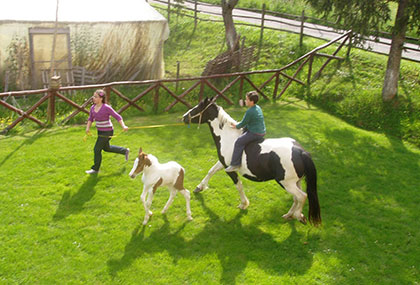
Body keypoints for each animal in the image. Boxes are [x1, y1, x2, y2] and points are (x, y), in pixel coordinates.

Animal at [184, 96, 322, 225]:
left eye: (198, 107)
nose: (184, 117)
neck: (228, 137)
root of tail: (301, 151)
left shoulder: (230, 169)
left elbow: (239, 185)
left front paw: (243, 204)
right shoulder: (223, 163)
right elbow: (211, 171)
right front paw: (199, 187)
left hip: (286, 183)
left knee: (302, 196)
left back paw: (299, 216)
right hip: (296, 182)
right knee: (296, 198)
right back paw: (289, 215)